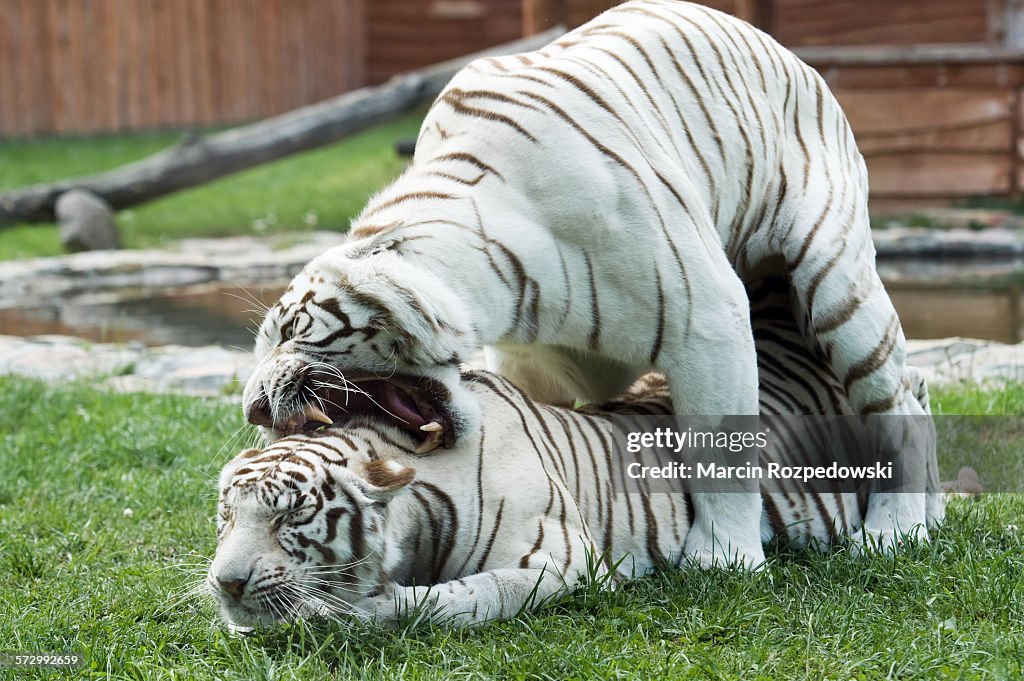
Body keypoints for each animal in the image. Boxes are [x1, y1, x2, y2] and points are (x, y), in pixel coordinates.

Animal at [241, 0, 929, 569]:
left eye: (291, 329)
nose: (251, 408)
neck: (502, 286)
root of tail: (792, 57)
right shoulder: (529, 360)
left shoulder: (708, 322)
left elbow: (722, 452)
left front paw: (723, 559)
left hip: (838, 286)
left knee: (899, 398)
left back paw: (896, 531)